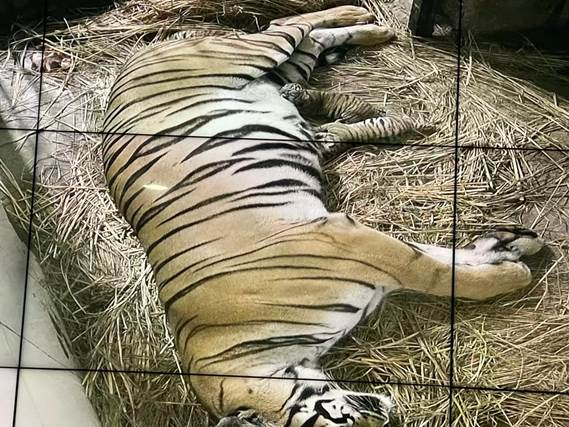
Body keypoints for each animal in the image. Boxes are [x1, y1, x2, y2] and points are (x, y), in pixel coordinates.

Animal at [100, 5, 544, 426]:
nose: (386, 415)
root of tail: (134, 58)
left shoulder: (347, 238)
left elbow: (440, 272)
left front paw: (514, 269)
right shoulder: (364, 252)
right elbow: (442, 260)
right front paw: (510, 251)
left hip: (248, 54)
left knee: (287, 24)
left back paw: (364, 16)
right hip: (282, 72)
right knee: (311, 38)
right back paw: (376, 29)